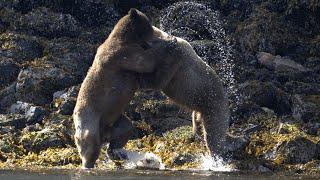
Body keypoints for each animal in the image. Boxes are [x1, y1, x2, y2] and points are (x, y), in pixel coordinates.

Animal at [73, 8, 176, 169]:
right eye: (149, 24)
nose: (157, 31)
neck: (126, 39)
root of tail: (103, 134)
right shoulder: (120, 55)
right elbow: (145, 61)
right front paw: (170, 43)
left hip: (115, 119)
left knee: (125, 129)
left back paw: (115, 152)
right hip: (90, 118)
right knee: (90, 141)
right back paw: (88, 164)